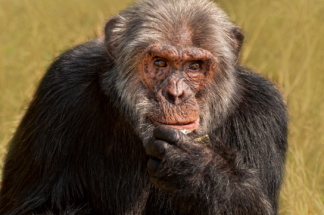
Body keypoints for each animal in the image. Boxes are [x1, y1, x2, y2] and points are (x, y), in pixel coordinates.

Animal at [0, 0, 288, 214]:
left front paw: (200, 170)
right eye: (160, 62)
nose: (175, 94)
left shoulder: (263, 113)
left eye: (194, 66)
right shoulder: (60, 90)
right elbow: (31, 206)